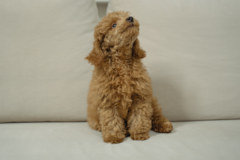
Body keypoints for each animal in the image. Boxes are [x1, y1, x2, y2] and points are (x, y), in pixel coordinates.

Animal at [85, 11, 172, 144]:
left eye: (126, 15)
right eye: (113, 25)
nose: (130, 18)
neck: (122, 62)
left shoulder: (140, 97)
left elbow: (139, 117)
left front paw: (139, 134)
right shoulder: (107, 101)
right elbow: (111, 120)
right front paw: (113, 137)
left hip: (152, 100)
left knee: (157, 115)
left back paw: (164, 125)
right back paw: (124, 131)